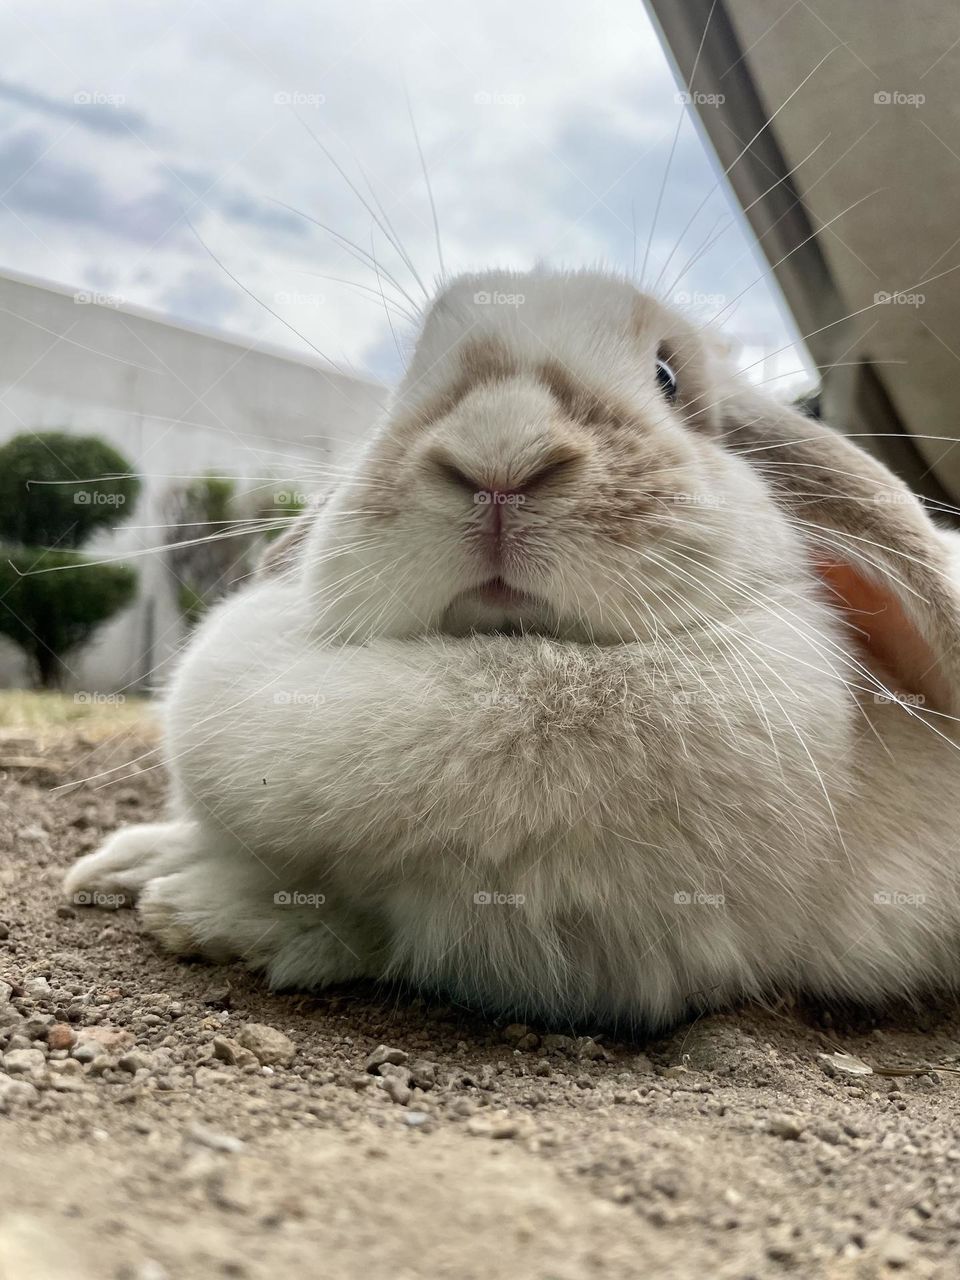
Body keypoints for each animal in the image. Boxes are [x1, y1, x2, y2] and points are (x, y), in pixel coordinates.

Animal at [64, 268, 960, 1030]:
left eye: (669, 378)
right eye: (410, 374)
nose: (499, 454)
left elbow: (364, 922)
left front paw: (198, 910)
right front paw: (120, 866)